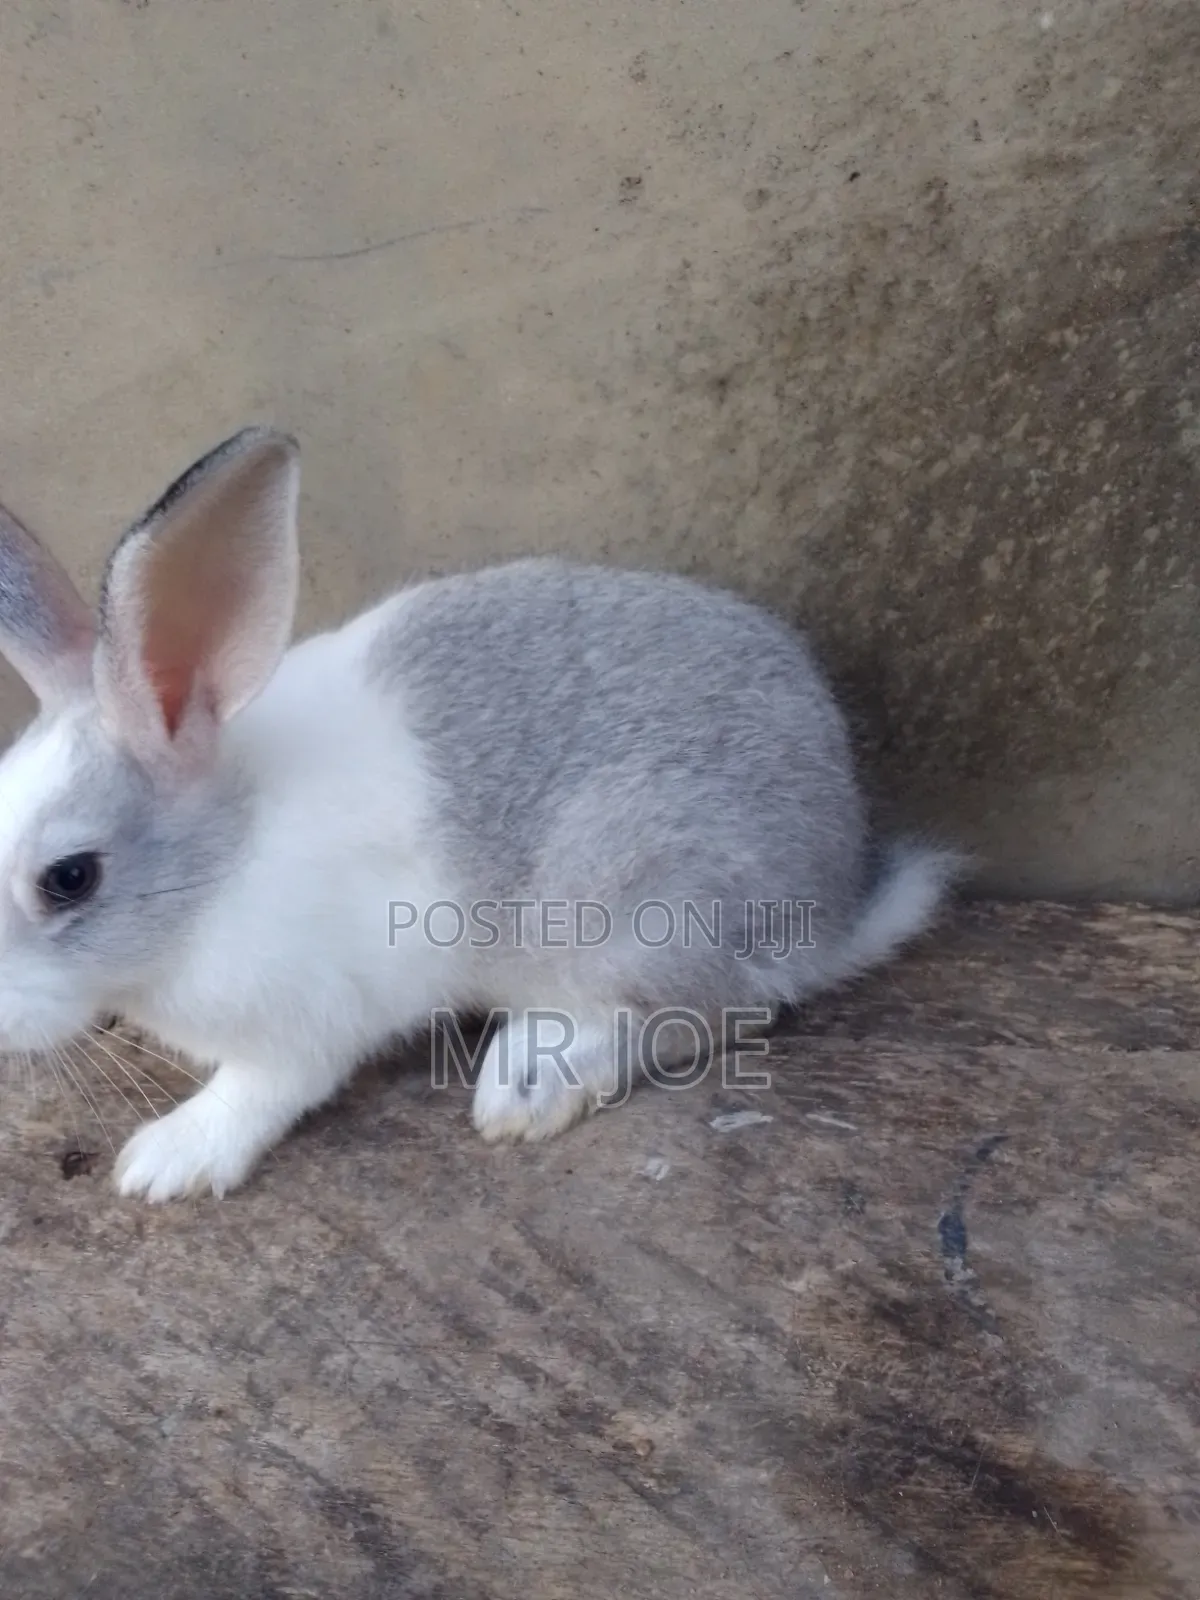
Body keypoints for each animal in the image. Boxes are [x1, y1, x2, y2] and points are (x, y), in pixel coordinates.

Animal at [0, 426, 961, 1202]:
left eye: (71, 878)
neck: (220, 861)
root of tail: (837, 901)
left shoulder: (303, 1022)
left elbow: (258, 1091)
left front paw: (166, 1163)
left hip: (634, 910)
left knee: (711, 1016)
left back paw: (528, 1082)